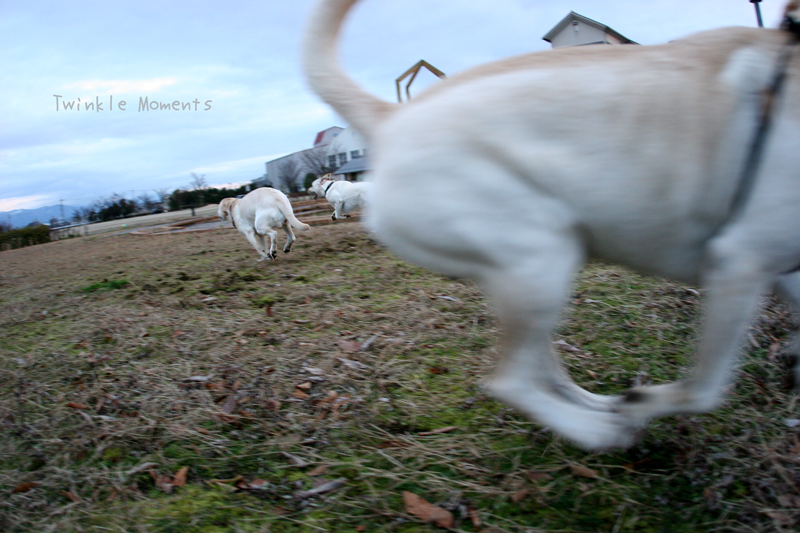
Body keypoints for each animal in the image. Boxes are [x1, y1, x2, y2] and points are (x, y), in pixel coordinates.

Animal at [304, 0, 800, 448]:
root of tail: (393, 118)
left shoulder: (771, 269)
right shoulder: (739, 262)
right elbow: (704, 387)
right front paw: (645, 404)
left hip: (529, 272)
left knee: (540, 367)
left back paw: (596, 407)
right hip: (539, 259)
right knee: (511, 381)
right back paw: (597, 430)